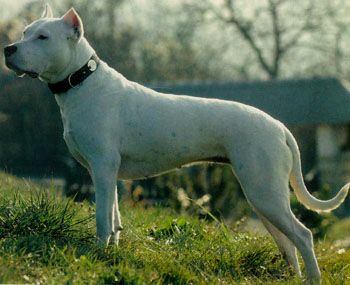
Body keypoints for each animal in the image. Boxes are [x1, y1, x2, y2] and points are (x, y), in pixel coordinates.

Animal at [4, 4, 348, 282]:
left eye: (43, 37)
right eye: (24, 32)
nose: (8, 48)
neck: (82, 80)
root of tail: (280, 127)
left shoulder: (101, 169)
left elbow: (103, 218)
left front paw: (99, 253)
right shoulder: (108, 175)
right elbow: (114, 217)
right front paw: (112, 251)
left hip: (264, 194)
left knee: (303, 235)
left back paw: (313, 279)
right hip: (264, 197)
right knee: (288, 241)